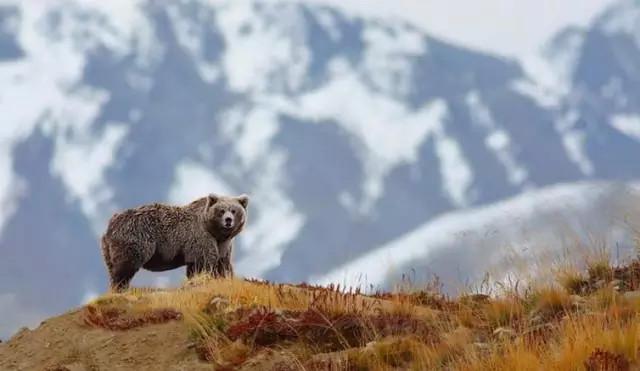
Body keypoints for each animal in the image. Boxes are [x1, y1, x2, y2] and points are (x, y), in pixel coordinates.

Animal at [101, 195, 249, 290]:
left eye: (234, 210)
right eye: (221, 210)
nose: (228, 220)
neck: (216, 233)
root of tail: (111, 223)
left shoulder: (223, 246)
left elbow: (222, 265)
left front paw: (224, 278)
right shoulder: (200, 239)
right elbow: (202, 264)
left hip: (108, 249)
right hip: (136, 238)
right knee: (125, 268)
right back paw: (120, 288)